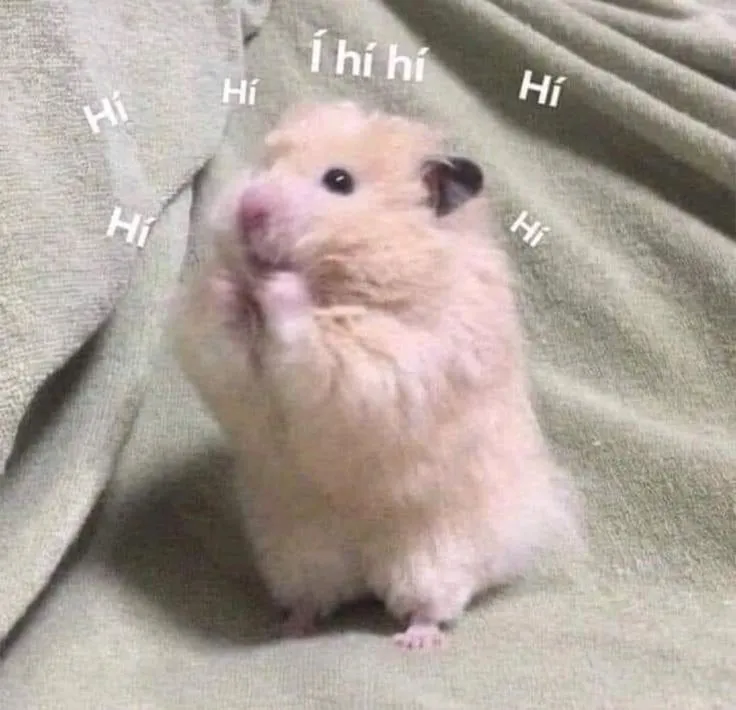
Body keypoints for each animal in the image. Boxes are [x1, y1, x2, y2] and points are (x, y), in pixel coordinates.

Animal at [171, 101, 581, 650]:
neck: (337, 283)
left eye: (339, 181)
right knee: (315, 596)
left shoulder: (390, 365)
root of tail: (365, 571)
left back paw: (416, 640)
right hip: (297, 549)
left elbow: (317, 340)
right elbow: (218, 332)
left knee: (432, 603)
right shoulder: (218, 359)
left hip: (433, 551)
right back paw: (291, 626)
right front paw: (226, 284)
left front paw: (278, 286)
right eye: (265, 165)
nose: (249, 207)